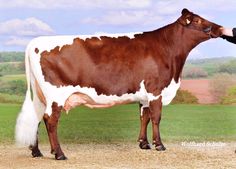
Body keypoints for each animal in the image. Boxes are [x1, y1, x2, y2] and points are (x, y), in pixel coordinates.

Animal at [15, 8, 223, 160]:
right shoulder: (156, 90)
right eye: (197, 21)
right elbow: (156, 118)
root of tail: (35, 42)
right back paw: (59, 154)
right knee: (50, 120)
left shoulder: (144, 95)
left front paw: (144, 144)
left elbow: (144, 117)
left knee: (36, 118)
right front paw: (159, 145)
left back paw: (36, 152)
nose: (220, 28)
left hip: (41, 96)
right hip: (55, 95)